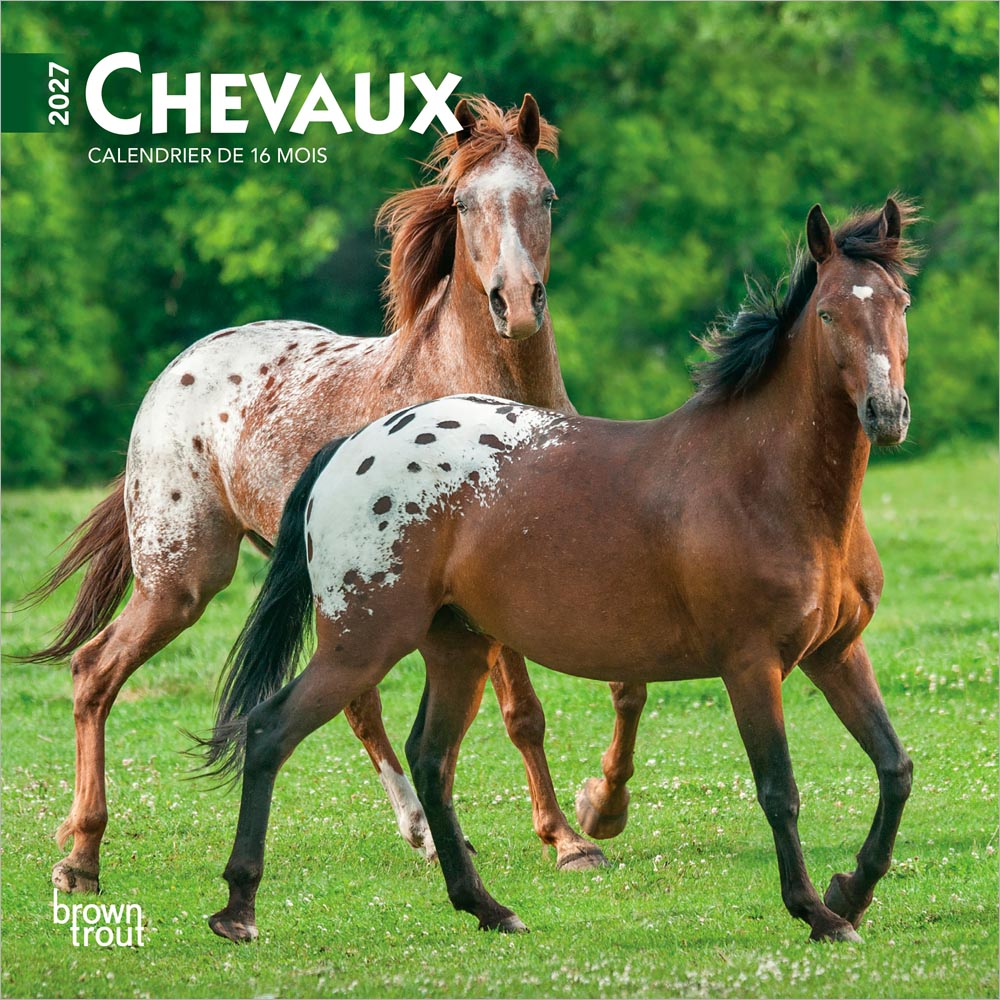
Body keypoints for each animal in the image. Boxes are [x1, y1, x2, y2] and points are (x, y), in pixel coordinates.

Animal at [19, 94, 624, 895]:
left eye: (547, 197)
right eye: (463, 203)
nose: (517, 304)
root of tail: (178, 369)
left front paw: (588, 816)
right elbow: (522, 710)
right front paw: (568, 839)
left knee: (357, 704)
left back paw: (423, 832)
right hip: (181, 580)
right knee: (94, 673)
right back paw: (81, 857)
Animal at [202, 197, 918, 944]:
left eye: (901, 302)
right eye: (829, 313)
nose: (886, 413)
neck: (763, 483)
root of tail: (349, 448)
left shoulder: (837, 651)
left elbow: (894, 767)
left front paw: (851, 890)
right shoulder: (752, 664)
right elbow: (779, 791)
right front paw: (816, 911)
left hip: (456, 647)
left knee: (431, 760)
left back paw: (486, 906)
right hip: (361, 644)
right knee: (270, 731)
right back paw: (238, 909)